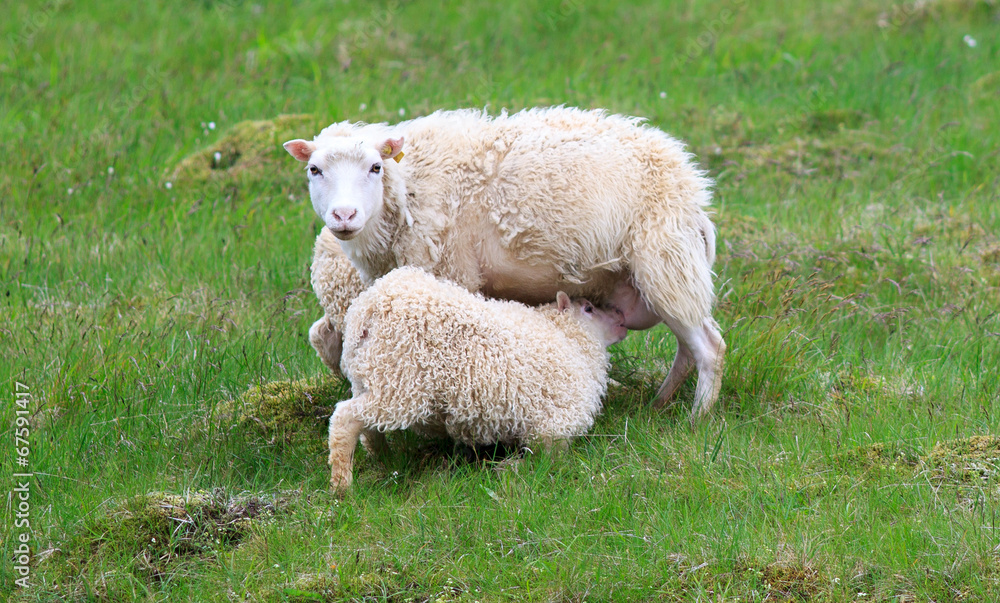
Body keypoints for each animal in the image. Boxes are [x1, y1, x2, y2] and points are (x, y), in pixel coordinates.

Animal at [285, 106, 725, 418]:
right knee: (688, 349)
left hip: (665, 262)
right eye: (314, 170)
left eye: (375, 167)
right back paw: (660, 403)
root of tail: (694, 190)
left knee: (709, 348)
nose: (344, 216)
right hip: (664, 273)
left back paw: (697, 419)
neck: (410, 186)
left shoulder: (453, 274)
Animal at [327, 266, 628, 491]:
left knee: (367, 425)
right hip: (400, 384)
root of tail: (368, 309)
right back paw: (342, 485)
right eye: (588, 309)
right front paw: (512, 468)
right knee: (345, 419)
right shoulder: (554, 425)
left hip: (373, 379)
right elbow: (548, 459)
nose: (622, 318)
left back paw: (383, 459)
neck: (569, 339)